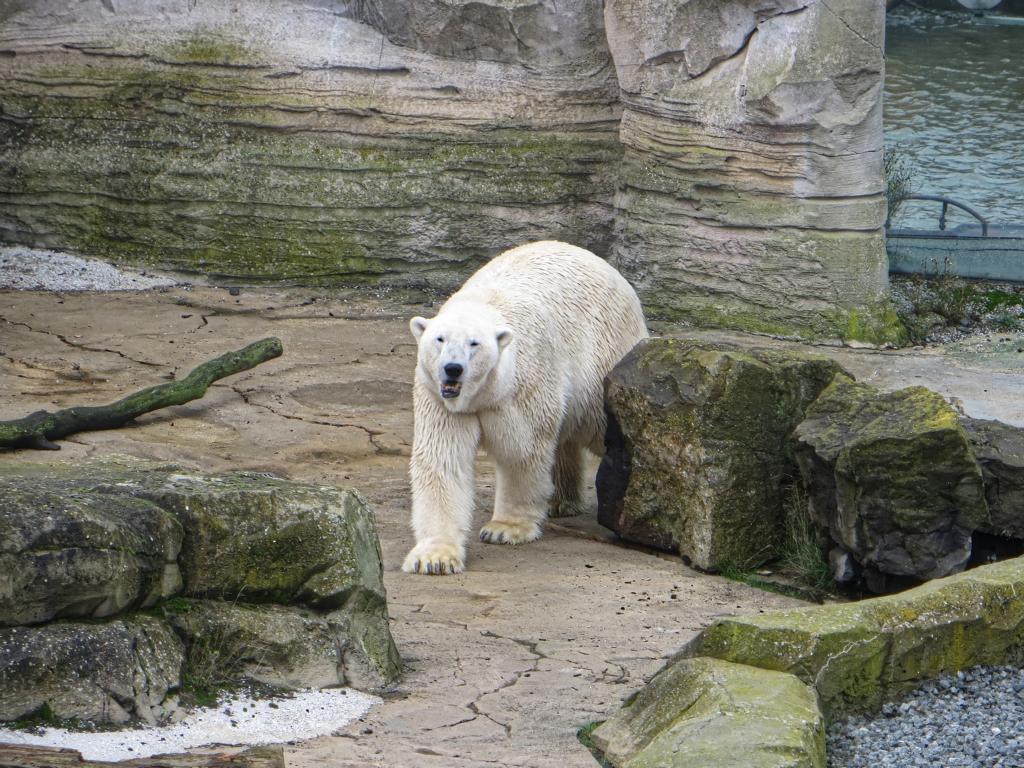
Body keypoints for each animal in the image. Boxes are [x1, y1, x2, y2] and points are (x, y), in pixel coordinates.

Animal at [401, 243, 647, 573]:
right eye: (439, 339)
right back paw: (561, 500)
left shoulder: (522, 387)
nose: (453, 369)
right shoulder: (440, 399)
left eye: (474, 343)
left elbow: (522, 451)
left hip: (605, 355)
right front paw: (434, 557)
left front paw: (504, 529)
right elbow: (443, 459)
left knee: (605, 425)